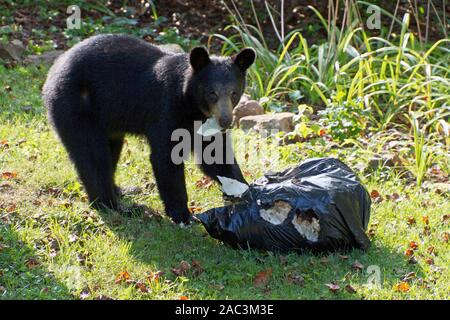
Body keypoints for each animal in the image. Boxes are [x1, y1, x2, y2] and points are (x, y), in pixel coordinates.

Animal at [43, 33, 255, 224]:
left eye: (234, 93)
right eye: (212, 93)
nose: (225, 121)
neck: (193, 107)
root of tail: (53, 71)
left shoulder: (204, 125)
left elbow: (215, 156)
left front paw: (246, 192)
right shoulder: (166, 110)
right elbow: (166, 157)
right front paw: (183, 215)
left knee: (110, 150)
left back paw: (119, 190)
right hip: (77, 106)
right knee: (93, 155)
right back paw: (112, 205)